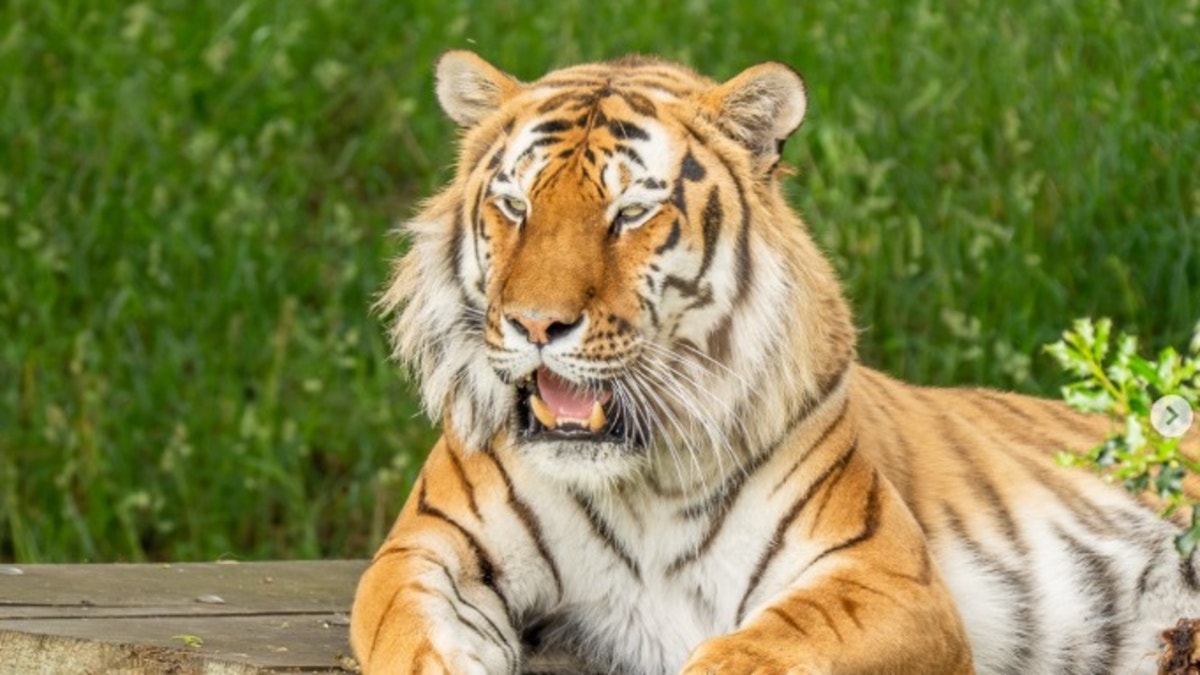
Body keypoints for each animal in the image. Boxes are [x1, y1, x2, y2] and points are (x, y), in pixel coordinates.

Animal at [350, 51, 1200, 674]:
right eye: (516, 206)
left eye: (631, 212)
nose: (535, 323)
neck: (638, 478)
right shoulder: (425, 548)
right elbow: (409, 633)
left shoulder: (883, 575)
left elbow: (749, 654)